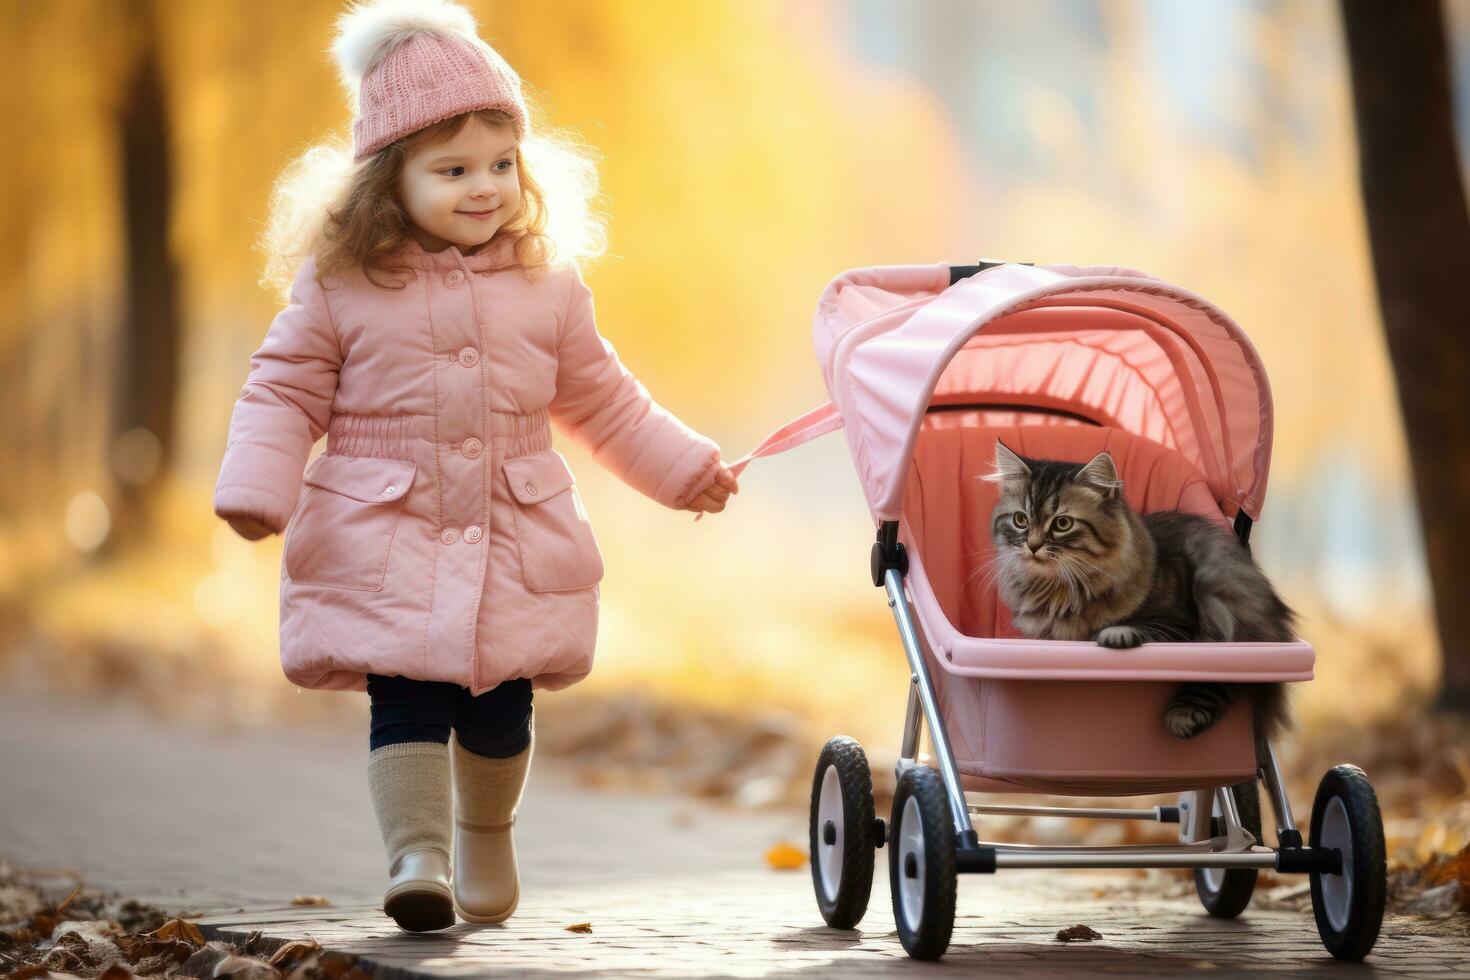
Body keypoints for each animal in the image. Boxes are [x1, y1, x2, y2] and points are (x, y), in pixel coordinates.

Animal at [981, 440, 1293, 740]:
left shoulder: (1179, 623)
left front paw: (1113, 634)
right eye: (1021, 520)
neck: (1061, 587)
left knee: (1230, 677)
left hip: (1223, 607)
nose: (1032, 546)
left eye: (1062, 523)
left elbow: (1141, 629)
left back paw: (1183, 719)